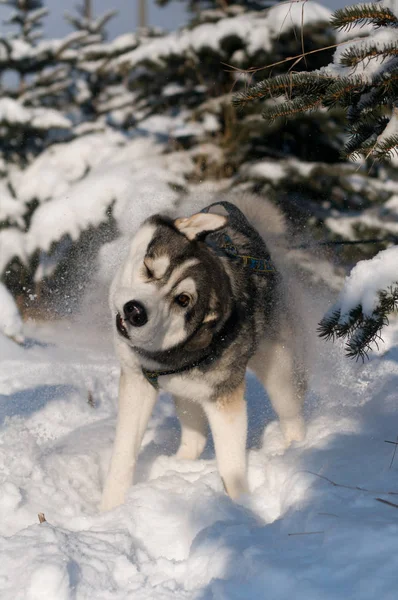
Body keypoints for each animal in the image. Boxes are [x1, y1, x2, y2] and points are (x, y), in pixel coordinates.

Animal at [101, 197, 306, 510]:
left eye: (183, 300)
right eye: (149, 268)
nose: (135, 311)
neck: (168, 354)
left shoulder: (224, 399)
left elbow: (232, 465)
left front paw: (242, 507)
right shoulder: (137, 382)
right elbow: (124, 453)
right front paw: (109, 508)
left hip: (278, 368)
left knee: (291, 412)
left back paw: (297, 449)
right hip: (186, 393)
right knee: (194, 438)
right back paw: (177, 468)